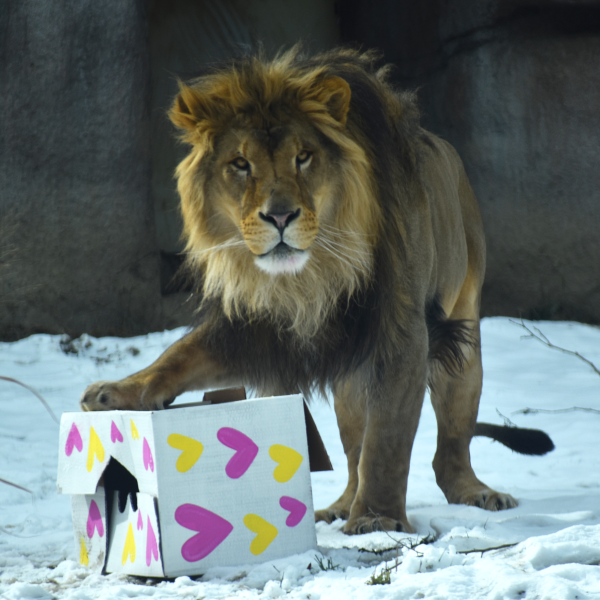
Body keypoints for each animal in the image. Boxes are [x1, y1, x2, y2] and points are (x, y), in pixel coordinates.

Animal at [79, 48, 552, 536]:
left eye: (303, 158)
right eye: (240, 164)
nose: (280, 216)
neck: (310, 277)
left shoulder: (402, 331)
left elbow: (387, 438)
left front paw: (378, 518)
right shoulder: (255, 325)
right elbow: (179, 356)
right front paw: (114, 393)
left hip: (462, 334)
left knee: (449, 446)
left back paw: (476, 493)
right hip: (350, 380)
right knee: (353, 453)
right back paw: (339, 505)